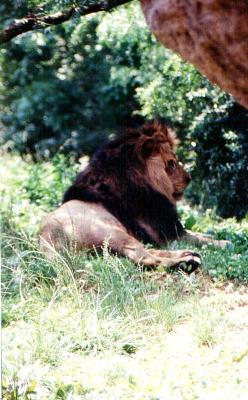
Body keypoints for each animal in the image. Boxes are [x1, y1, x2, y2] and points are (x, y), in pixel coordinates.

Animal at [39, 119, 229, 268]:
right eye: (171, 163)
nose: (189, 178)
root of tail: (48, 237)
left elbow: (200, 235)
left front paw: (216, 236)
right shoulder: (167, 234)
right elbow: (199, 238)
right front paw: (224, 242)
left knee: (148, 250)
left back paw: (188, 255)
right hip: (111, 231)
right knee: (143, 257)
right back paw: (185, 261)